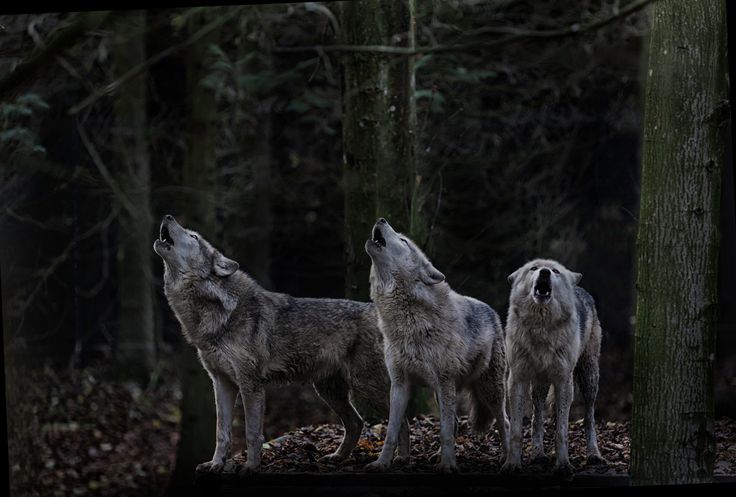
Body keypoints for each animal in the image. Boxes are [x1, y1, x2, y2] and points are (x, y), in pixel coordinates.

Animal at [152, 215, 410, 475]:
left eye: (193, 236)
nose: (168, 216)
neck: (216, 311)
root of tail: (376, 312)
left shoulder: (251, 384)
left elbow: (251, 433)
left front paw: (250, 467)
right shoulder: (221, 383)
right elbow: (222, 432)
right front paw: (216, 464)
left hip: (365, 387)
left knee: (400, 420)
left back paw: (397, 460)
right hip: (328, 390)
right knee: (357, 422)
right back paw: (338, 457)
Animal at [364, 218, 508, 473]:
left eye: (403, 240)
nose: (381, 219)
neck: (406, 321)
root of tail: (492, 311)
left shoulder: (444, 381)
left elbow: (444, 432)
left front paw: (448, 466)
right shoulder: (400, 384)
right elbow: (392, 431)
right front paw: (382, 463)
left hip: (489, 390)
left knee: (505, 423)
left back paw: (508, 458)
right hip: (445, 393)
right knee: (457, 424)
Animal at [502, 259, 606, 478]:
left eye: (555, 271)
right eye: (533, 268)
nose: (544, 272)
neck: (541, 328)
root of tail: (580, 288)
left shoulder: (563, 381)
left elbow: (562, 431)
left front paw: (563, 465)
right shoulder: (517, 380)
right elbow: (516, 430)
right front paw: (512, 465)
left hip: (589, 378)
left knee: (589, 418)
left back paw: (594, 455)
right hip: (539, 385)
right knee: (537, 418)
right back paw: (538, 454)